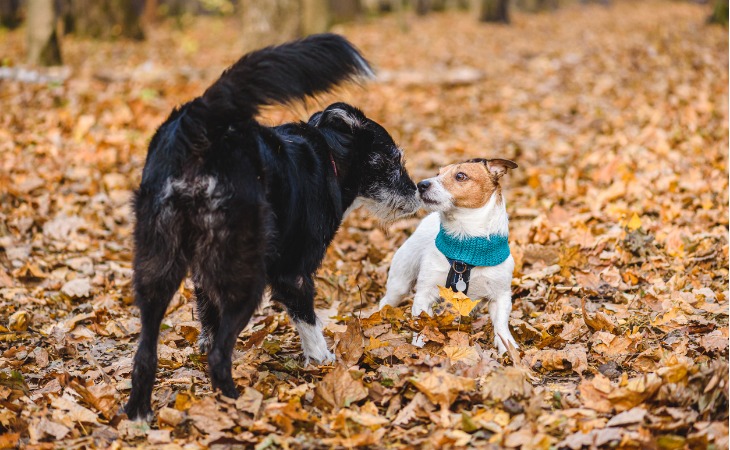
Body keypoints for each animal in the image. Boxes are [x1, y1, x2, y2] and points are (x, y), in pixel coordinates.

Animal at [124, 34, 418, 418]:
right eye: (393, 160)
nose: (418, 192)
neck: (328, 158)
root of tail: (199, 123)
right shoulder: (292, 272)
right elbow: (308, 320)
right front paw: (324, 361)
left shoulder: (203, 277)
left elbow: (207, 325)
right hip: (244, 274)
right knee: (219, 356)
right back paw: (236, 405)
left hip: (156, 263)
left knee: (145, 353)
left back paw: (140, 414)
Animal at [382, 158, 516, 356]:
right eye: (438, 173)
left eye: (460, 176)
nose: (421, 184)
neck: (465, 242)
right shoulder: (425, 293)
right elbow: (422, 324)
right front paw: (419, 349)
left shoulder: (501, 296)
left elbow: (501, 325)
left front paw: (508, 346)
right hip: (400, 283)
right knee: (386, 301)